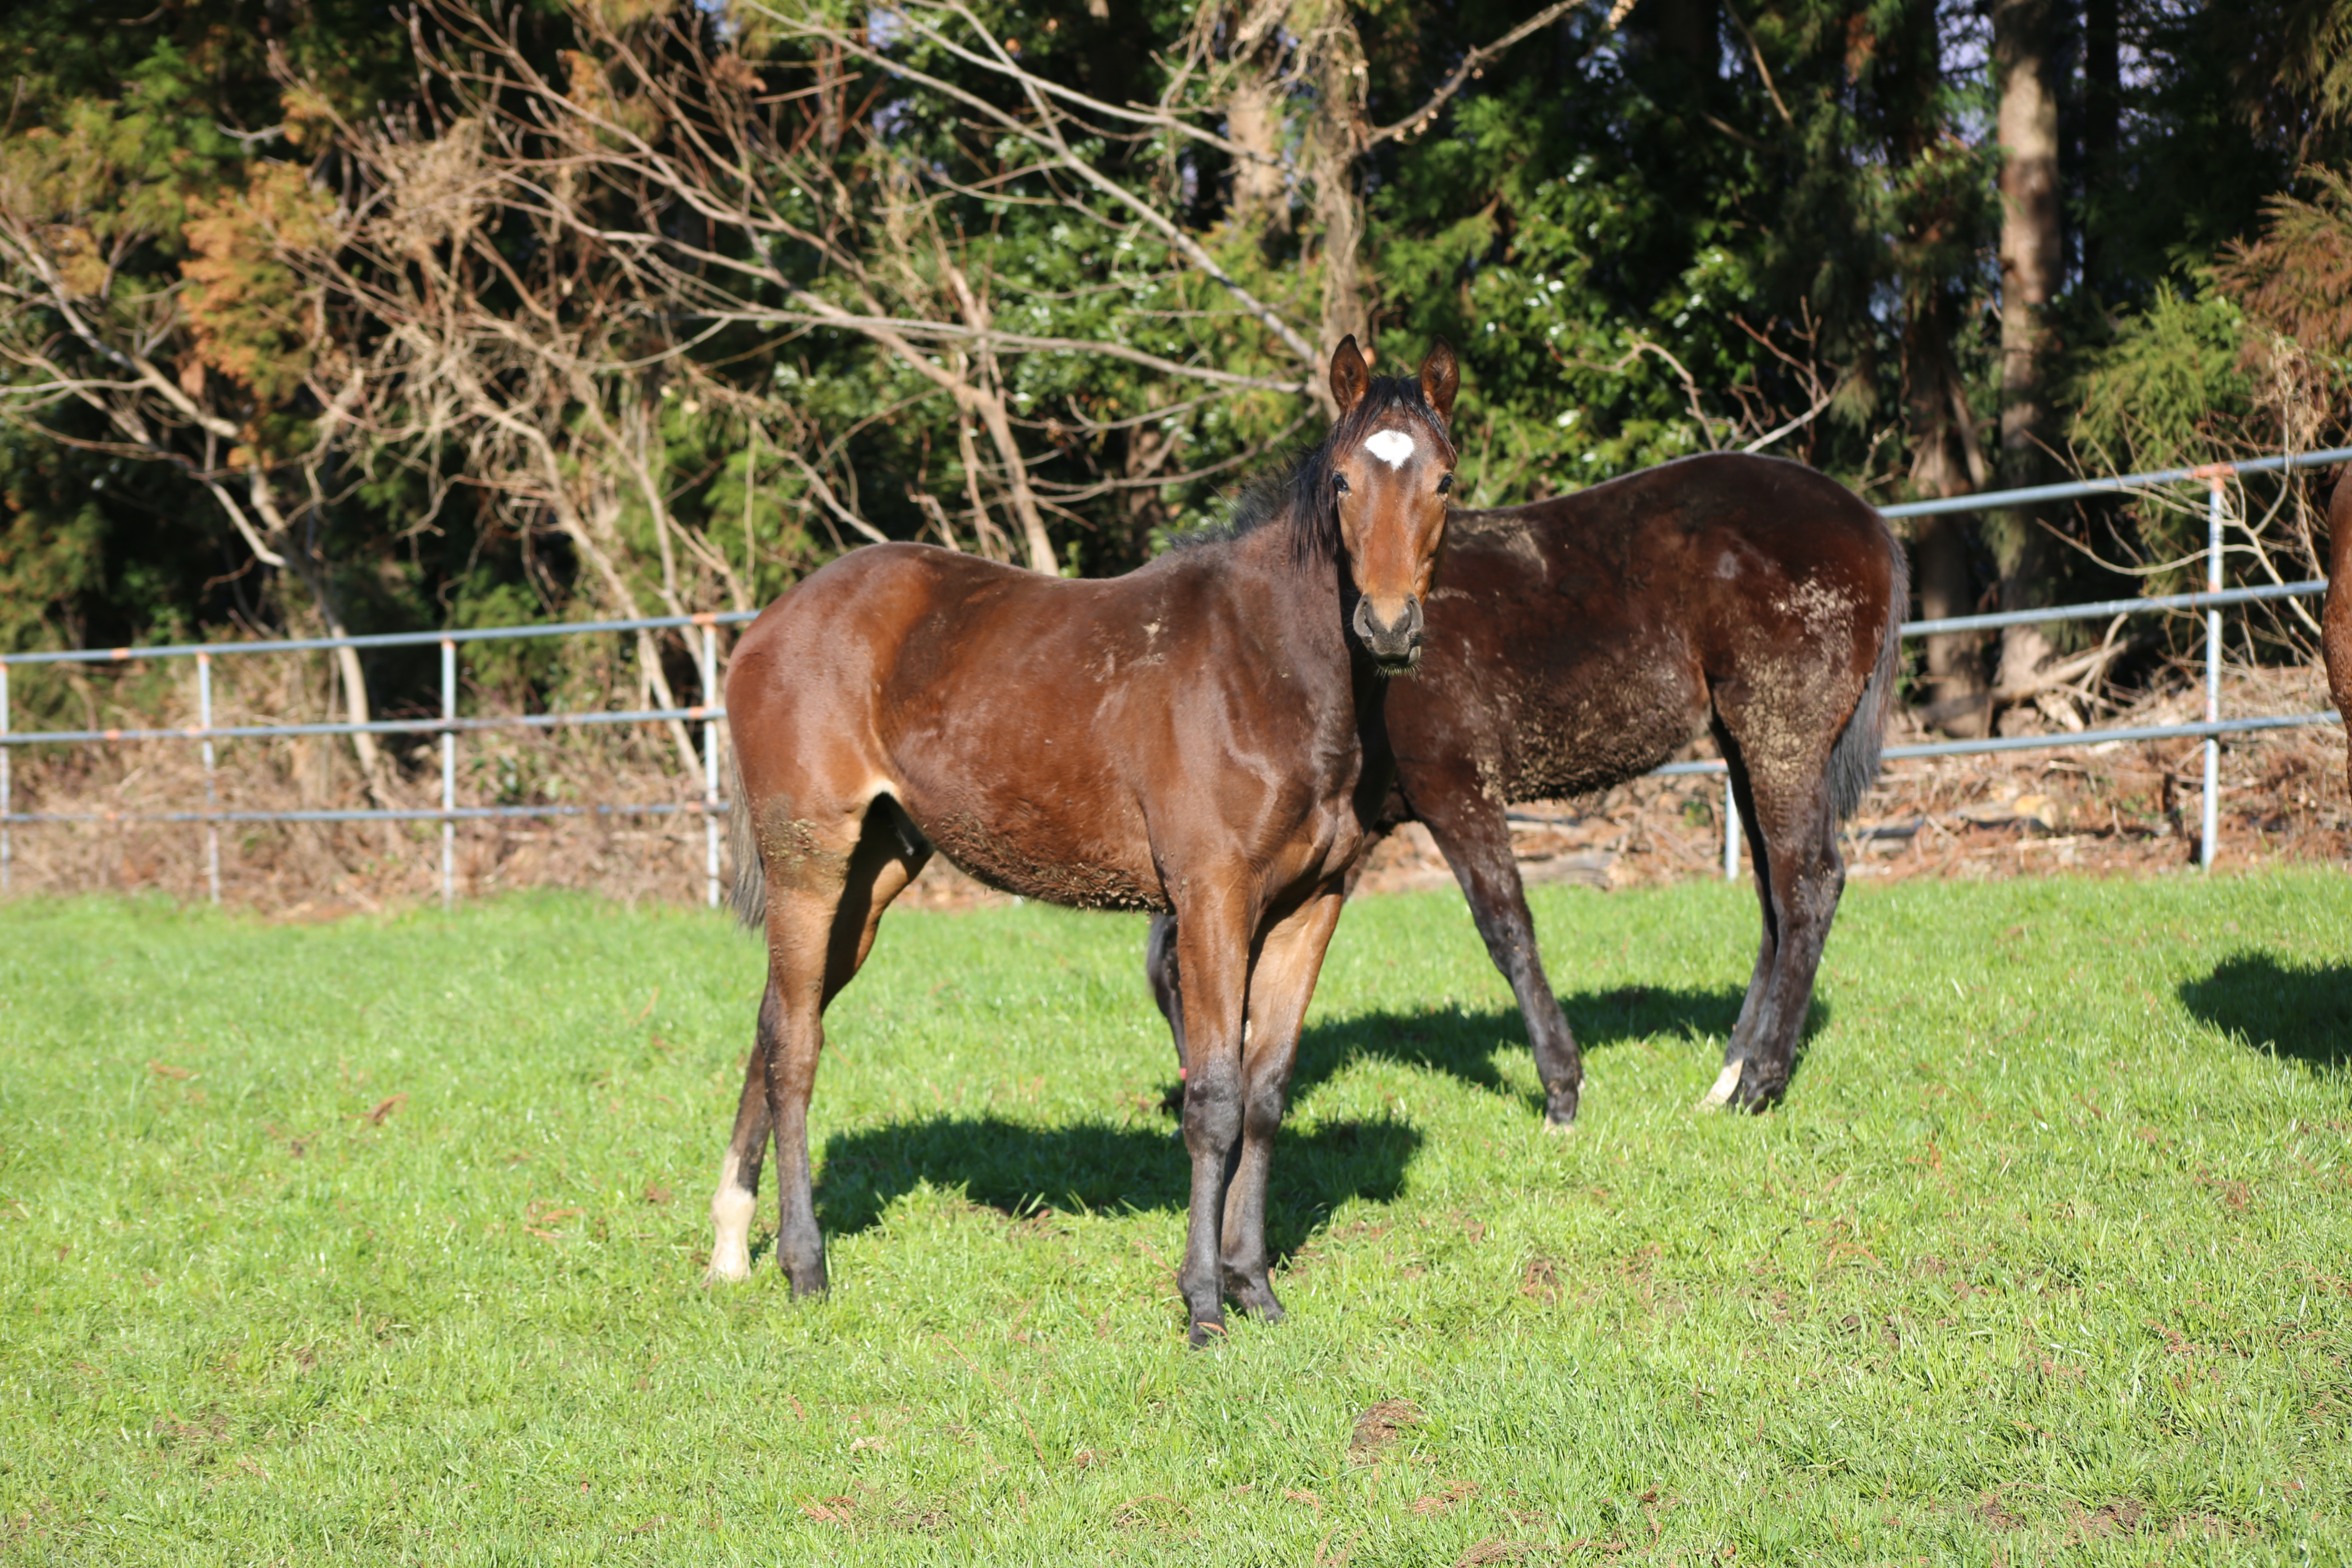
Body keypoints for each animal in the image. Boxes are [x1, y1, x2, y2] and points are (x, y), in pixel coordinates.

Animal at [706, 339, 1458, 1345]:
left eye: (1445, 480)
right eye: (1342, 481)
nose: (1387, 627)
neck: (1268, 670)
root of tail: (764, 629)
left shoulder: (1314, 906)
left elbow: (1266, 1095)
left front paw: (1256, 1289)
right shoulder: (1212, 900)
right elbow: (1213, 1100)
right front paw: (1204, 1309)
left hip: (874, 874)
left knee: (773, 1022)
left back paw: (729, 1249)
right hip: (810, 862)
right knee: (795, 1045)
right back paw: (804, 1266)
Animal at [1147, 446, 1900, 1123]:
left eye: (1182, 991)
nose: (1193, 1105)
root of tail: (1868, 522)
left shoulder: (1457, 790)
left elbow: (1506, 927)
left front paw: (1563, 1090)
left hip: (1782, 738)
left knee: (1808, 884)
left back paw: (1760, 1083)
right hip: (1746, 746)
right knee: (1776, 897)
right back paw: (1730, 1076)